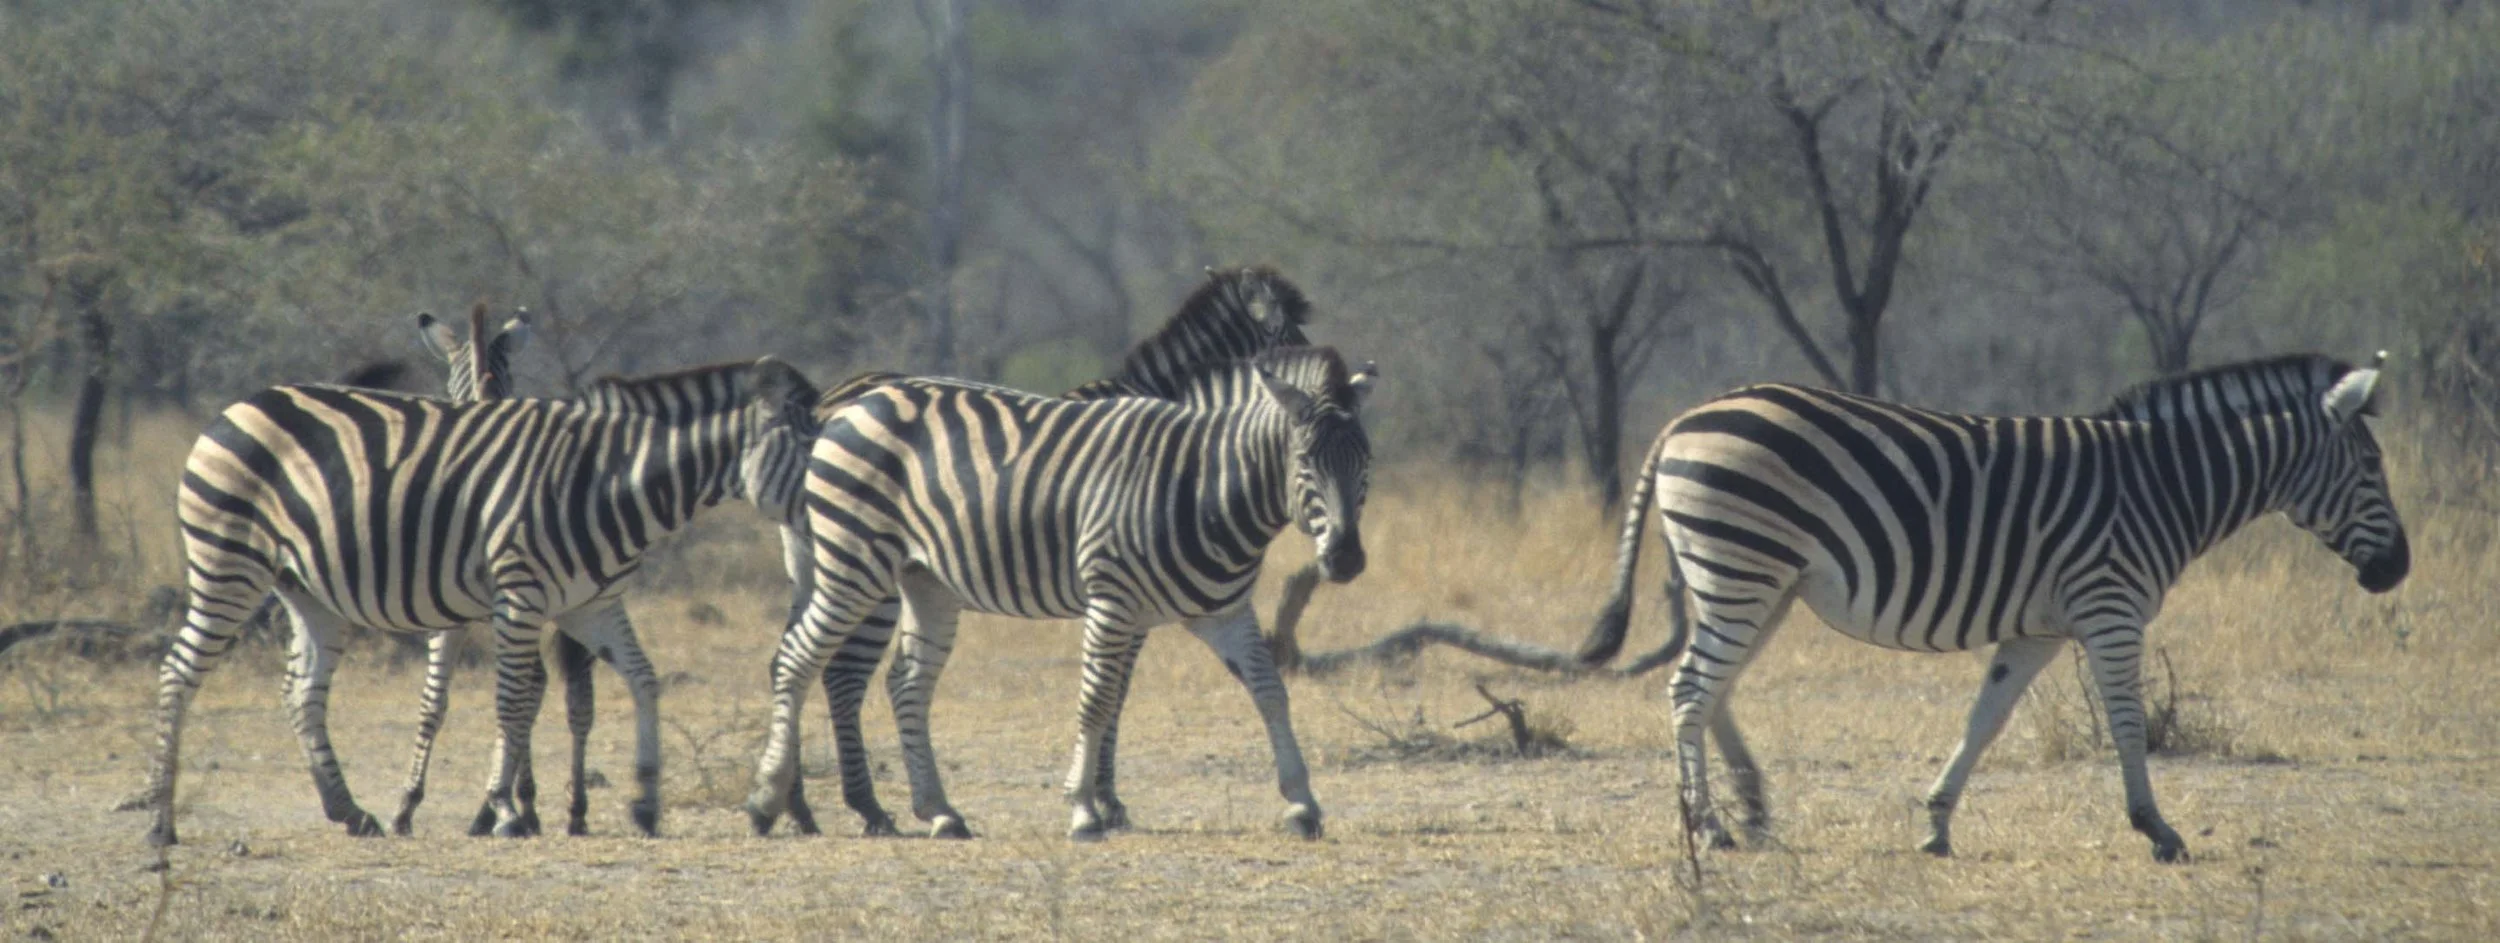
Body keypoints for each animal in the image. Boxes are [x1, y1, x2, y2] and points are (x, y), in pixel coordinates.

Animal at [141, 355, 816, 846]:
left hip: (306, 590)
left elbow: (644, 680)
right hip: (228, 562)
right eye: (809, 448)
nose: (829, 517)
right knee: (178, 671)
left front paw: (645, 800)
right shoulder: (519, 595)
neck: (606, 480)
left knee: (302, 691)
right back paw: (160, 821)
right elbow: (513, 704)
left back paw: (349, 810)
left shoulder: (591, 606)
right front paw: (506, 811)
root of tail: (240, 405)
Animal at [768, 265, 1328, 838]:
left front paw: (1100, 798)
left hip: (838, 563)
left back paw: (806, 805)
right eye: (1290, 336)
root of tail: (824, 409)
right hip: (866, 566)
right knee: (840, 672)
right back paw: (861, 805)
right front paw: (1105, 800)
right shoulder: (1129, 600)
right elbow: (1114, 693)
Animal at [1572, 353, 2408, 862]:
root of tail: (1683, 420)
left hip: (1761, 579)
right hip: (1743, 564)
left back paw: (1747, 807)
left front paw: (1936, 823)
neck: (2164, 484)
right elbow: (2128, 721)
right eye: (2372, 465)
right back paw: (1709, 825)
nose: (2398, 568)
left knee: (1717, 689)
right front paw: (2157, 828)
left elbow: (1986, 718)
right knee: (1690, 689)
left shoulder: (2038, 629)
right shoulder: (2111, 606)